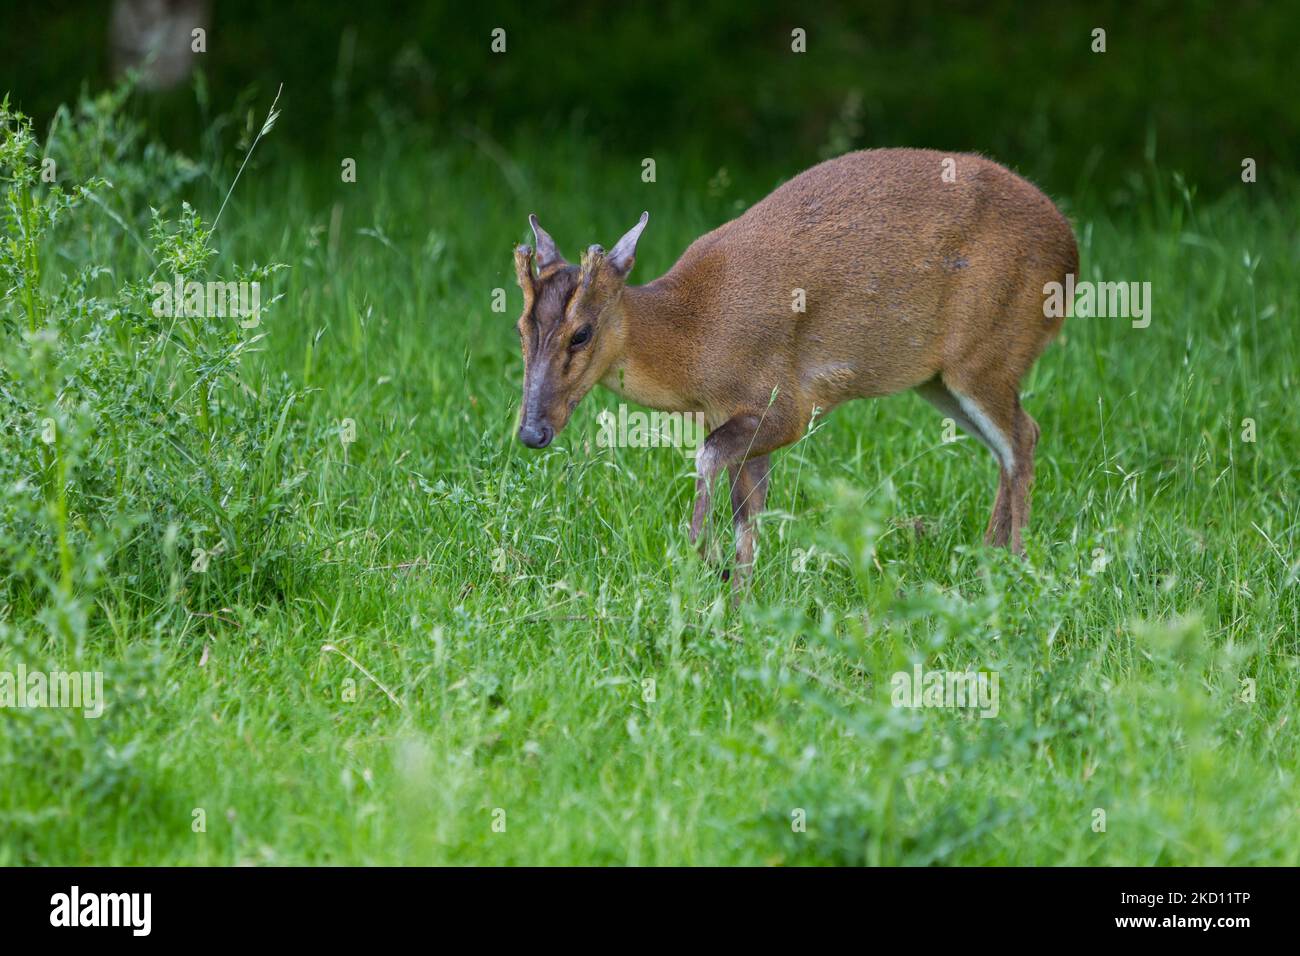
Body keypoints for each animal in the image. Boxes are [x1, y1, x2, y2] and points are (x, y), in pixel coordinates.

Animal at [512, 147, 1081, 590]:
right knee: (1008, 444)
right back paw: (988, 558)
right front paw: (737, 595)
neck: (693, 335)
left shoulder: (786, 405)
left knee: (1023, 435)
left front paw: (699, 562)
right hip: (940, 380)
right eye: (521, 328)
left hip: (987, 355)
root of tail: (1071, 253)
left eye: (581, 333)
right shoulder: (738, 416)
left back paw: (1016, 565)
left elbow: (709, 457)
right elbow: (748, 512)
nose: (532, 432)